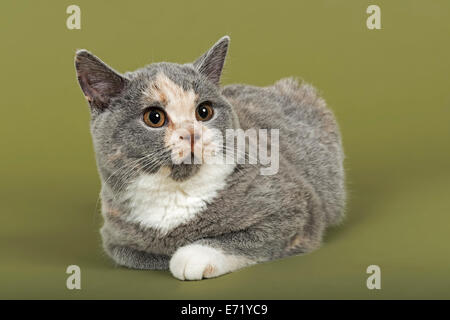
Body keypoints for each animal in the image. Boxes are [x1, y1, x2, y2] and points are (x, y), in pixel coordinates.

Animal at [75, 35, 346, 280]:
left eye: (204, 111)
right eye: (154, 117)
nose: (191, 133)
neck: (177, 192)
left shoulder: (297, 206)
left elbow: (248, 238)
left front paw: (192, 256)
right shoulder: (116, 238)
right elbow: (141, 255)